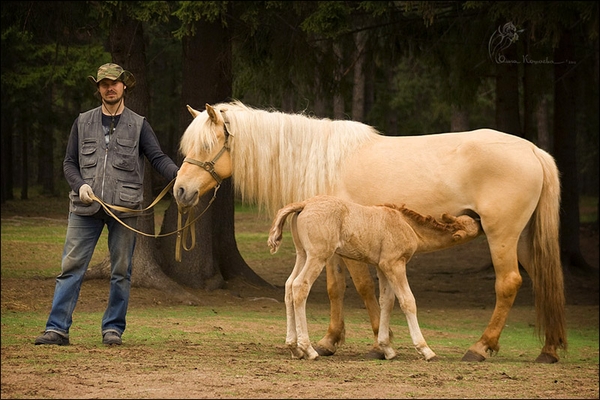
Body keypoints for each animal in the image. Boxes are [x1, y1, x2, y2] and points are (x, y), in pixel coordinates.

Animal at [268, 195, 482, 360]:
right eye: (472, 223)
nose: (480, 219)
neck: (407, 225)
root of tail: (303, 204)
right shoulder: (394, 264)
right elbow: (407, 301)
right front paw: (425, 350)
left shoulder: (382, 266)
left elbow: (386, 301)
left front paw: (387, 349)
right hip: (318, 255)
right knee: (300, 286)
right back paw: (308, 349)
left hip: (302, 254)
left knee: (289, 286)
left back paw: (294, 348)